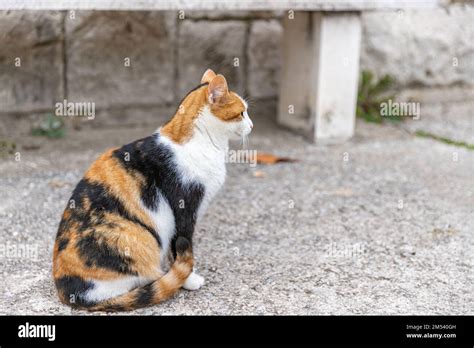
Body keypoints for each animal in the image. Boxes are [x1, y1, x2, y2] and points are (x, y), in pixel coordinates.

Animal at [53, 69, 254, 312]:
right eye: (241, 113)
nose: (252, 125)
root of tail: (70, 292)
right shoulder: (184, 208)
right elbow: (181, 247)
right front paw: (189, 279)